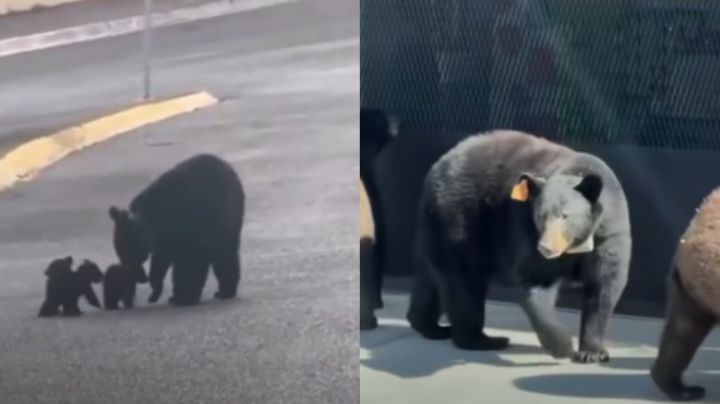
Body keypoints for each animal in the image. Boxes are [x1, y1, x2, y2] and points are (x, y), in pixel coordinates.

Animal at [110, 153, 245, 307]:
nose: (128, 272)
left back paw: (224, 291)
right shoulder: (163, 241)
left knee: (223, 253)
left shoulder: (185, 228)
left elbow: (188, 262)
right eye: (120, 251)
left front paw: (183, 296)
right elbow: (163, 261)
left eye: (127, 251)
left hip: (224, 218)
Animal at [407, 130, 632, 363]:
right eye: (540, 216)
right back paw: (483, 339)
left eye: (564, 215)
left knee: (433, 277)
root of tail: (436, 168)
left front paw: (591, 352)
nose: (546, 248)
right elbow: (536, 281)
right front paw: (562, 345)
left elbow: (604, 286)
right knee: (464, 280)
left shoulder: (609, 235)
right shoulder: (529, 233)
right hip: (462, 219)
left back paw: (431, 326)